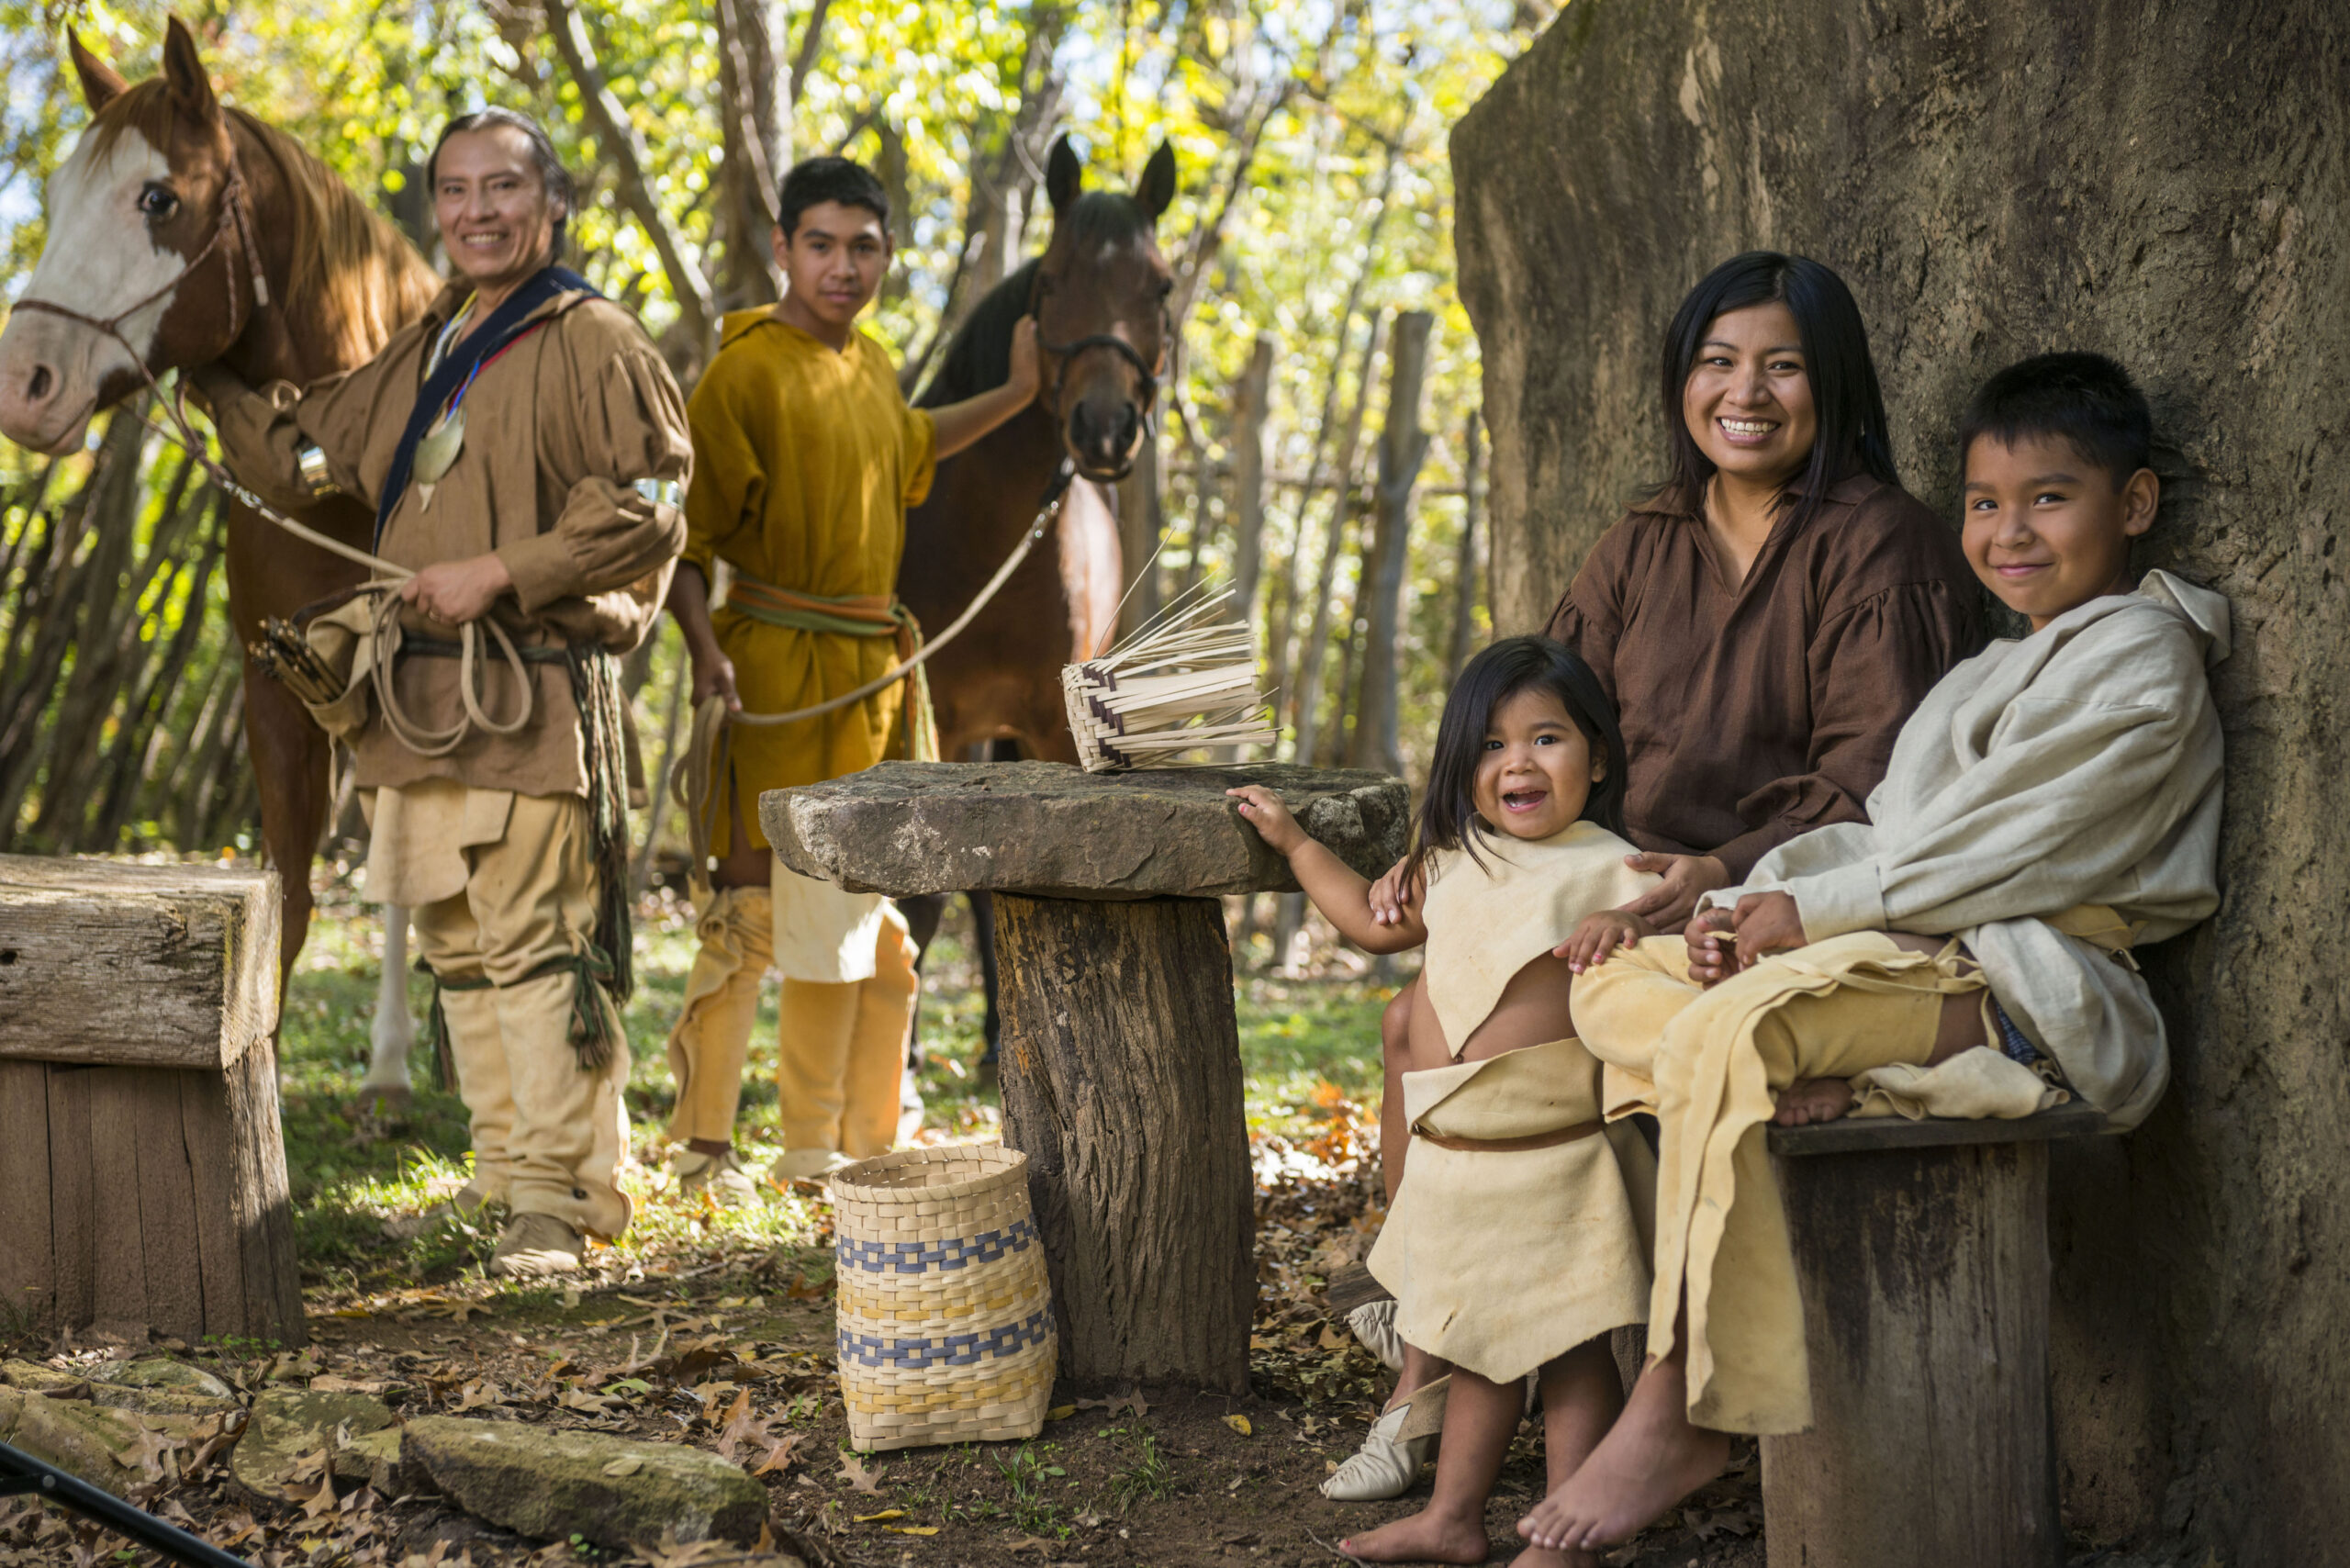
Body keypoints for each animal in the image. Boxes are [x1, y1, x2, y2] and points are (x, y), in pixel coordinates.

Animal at [0, 18, 442, 1086]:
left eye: (159, 199)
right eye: (58, 196)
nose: (21, 383)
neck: (340, 465)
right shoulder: (276, 687)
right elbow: (286, 907)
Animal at [892, 131, 1169, 1043]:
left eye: (1161, 286)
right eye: (1050, 283)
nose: (1105, 428)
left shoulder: (1054, 723)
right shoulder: (938, 719)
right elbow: (923, 896)